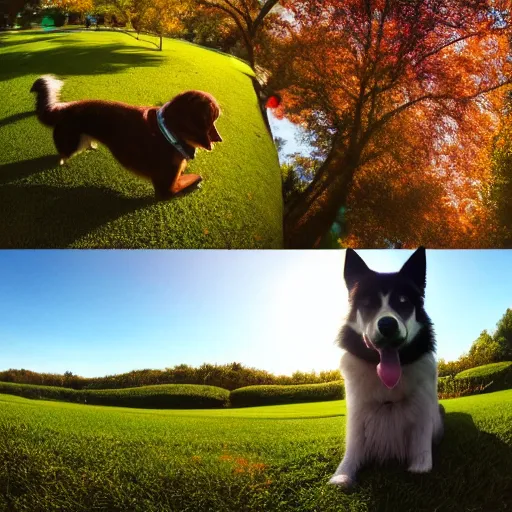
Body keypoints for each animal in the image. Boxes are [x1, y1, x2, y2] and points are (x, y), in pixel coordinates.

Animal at [30, 76, 222, 200]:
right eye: (213, 120)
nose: (219, 139)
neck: (169, 132)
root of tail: (65, 108)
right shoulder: (166, 188)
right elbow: (196, 177)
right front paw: (196, 184)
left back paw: (91, 146)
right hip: (72, 143)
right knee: (63, 153)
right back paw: (63, 161)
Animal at [330, 247, 442, 488]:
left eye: (403, 301)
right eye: (367, 303)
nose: (388, 324)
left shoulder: (422, 412)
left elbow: (421, 447)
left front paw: (420, 468)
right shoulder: (357, 414)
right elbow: (352, 450)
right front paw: (341, 476)